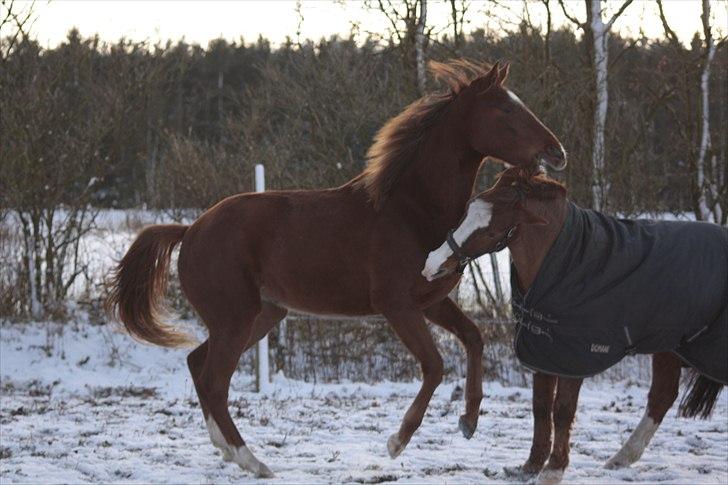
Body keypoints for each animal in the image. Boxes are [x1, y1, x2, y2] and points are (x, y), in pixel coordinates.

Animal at [105, 60, 564, 476]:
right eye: (505, 110)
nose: (556, 153)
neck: (412, 210)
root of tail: (190, 230)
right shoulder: (396, 306)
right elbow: (434, 365)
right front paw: (397, 441)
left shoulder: (431, 301)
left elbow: (474, 338)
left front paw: (468, 420)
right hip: (235, 319)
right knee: (215, 381)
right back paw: (253, 461)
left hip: (259, 316)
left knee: (198, 366)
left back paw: (227, 451)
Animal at [424, 168, 724, 482]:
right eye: (468, 210)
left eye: (491, 230)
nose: (432, 264)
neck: (568, 262)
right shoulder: (543, 352)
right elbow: (541, 406)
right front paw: (531, 466)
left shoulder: (573, 358)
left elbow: (562, 411)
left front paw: (553, 470)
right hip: (670, 349)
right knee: (662, 396)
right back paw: (621, 459)